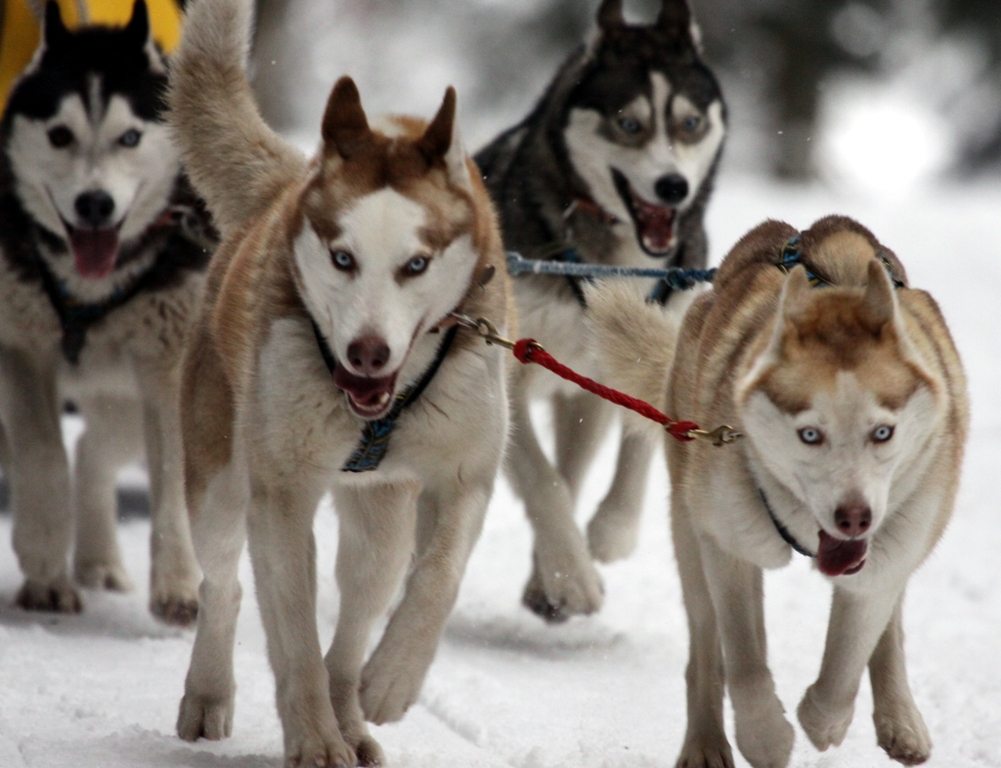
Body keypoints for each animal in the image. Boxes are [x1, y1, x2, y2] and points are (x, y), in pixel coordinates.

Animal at [0, 0, 211, 620]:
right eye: (60, 134)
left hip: (127, 393)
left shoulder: (168, 365)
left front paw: (180, 586)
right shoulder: (22, 346)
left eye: (131, 136)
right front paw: (45, 570)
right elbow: (42, 456)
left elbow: (174, 481)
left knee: (94, 451)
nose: (94, 204)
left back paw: (98, 561)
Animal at [169, 0, 512, 764]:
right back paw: (211, 693)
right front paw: (312, 739)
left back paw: (353, 710)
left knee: (360, 612)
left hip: (380, 519)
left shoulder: (466, 470)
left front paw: (392, 681)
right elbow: (292, 635)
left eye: (416, 264)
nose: (367, 352)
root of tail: (285, 180)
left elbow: (438, 576)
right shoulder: (281, 495)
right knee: (223, 583)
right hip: (219, 482)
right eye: (342, 256)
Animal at [472, 0, 724, 620]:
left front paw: (612, 530)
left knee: (576, 465)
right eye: (628, 124)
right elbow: (544, 484)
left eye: (690, 123)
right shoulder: (508, 367)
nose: (673, 186)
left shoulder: (642, 350)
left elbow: (639, 446)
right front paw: (571, 576)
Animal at [588, 218, 964, 768]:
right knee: (707, 647)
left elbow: (846, 665)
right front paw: (765, 736)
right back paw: (706, 741)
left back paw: (900, 717)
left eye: (883, 432)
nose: (854, 517)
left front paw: (823, 720)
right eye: (810, 434)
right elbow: (744, 662)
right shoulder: (730, 547)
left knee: (889, 627)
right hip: (693, 530)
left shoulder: (882, 559)